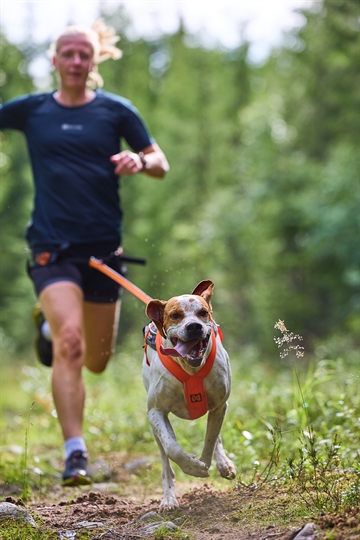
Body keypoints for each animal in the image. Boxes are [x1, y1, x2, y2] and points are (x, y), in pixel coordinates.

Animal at [143, 282, 236, 510]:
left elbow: (210, 440)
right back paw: (168, 498)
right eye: (175, 315)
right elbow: (172, 448)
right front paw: (192, 466)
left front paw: (205, 463)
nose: (194, 326)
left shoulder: (219, 405)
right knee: (165, 457)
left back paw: (224, 463)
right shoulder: (156, 411)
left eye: (203, 313)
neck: (190, 368)